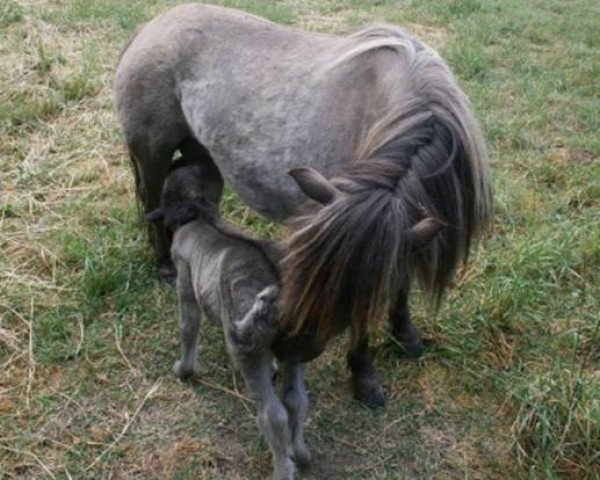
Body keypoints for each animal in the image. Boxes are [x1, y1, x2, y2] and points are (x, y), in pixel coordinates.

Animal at [115, 4, 490, 404]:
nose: (289, 350)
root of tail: (150, 27)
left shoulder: (406, 229)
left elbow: (400, 280)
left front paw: (405, 334)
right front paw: (365, 376)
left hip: (198, 153)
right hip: (152, 154)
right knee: (153, 202)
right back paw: (166, 263)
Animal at [147, 158, 310, 480]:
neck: (199, 212)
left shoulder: (185, 275)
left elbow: (188, 327)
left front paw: (183, 370)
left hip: (246, 350)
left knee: (273, 414)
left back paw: (282, 467)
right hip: (294, 348)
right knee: (296, 400)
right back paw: (299, 452)